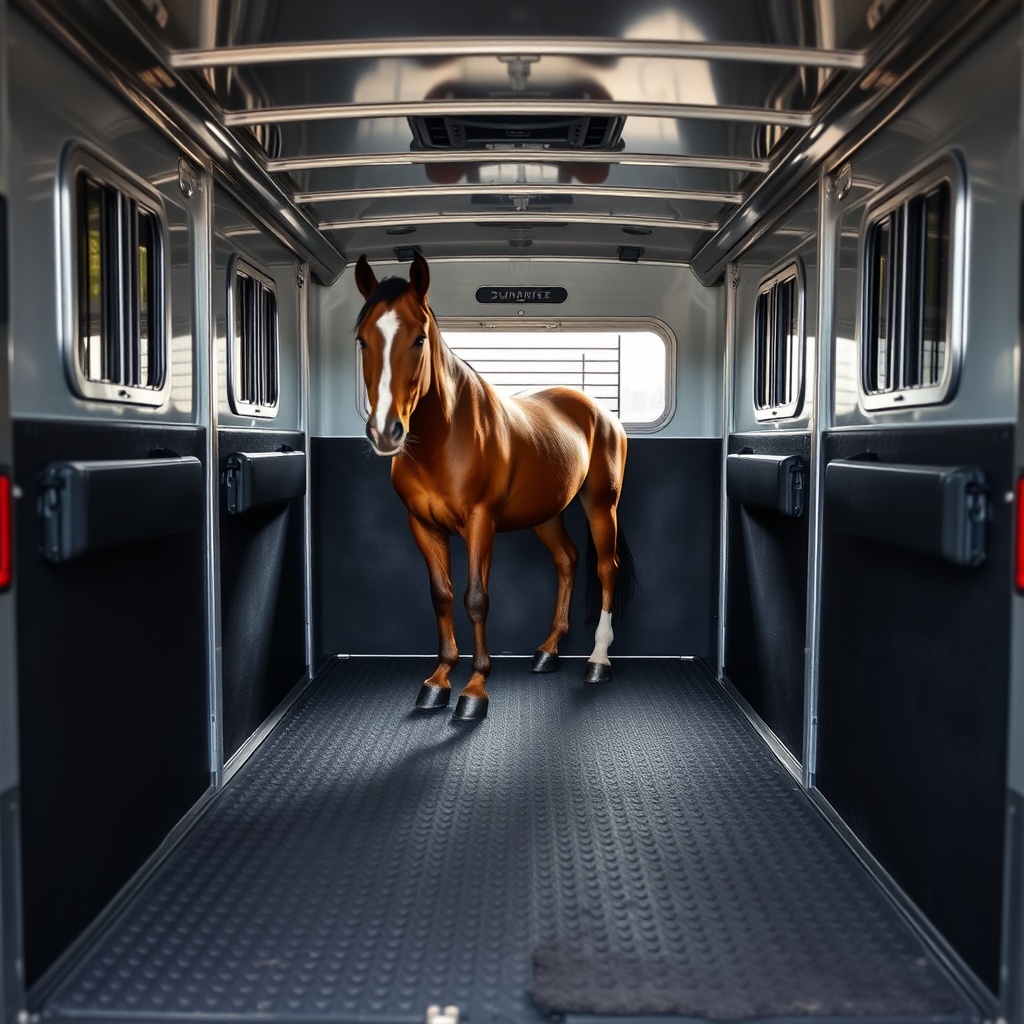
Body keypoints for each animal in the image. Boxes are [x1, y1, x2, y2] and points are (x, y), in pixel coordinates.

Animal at [354, 252, 636, 721]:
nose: (385, 432)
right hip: (546, 513)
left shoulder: (480, 523)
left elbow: (476, 598)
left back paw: (598, 661)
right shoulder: (422, 527)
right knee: (567, 560)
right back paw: (548, 651)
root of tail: (599, 412)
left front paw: (474, 690)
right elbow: (442, 596)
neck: (444, 439)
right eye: (361, 340)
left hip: (601, 505)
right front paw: (438, 681)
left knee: (605, 568)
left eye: (419, 338)